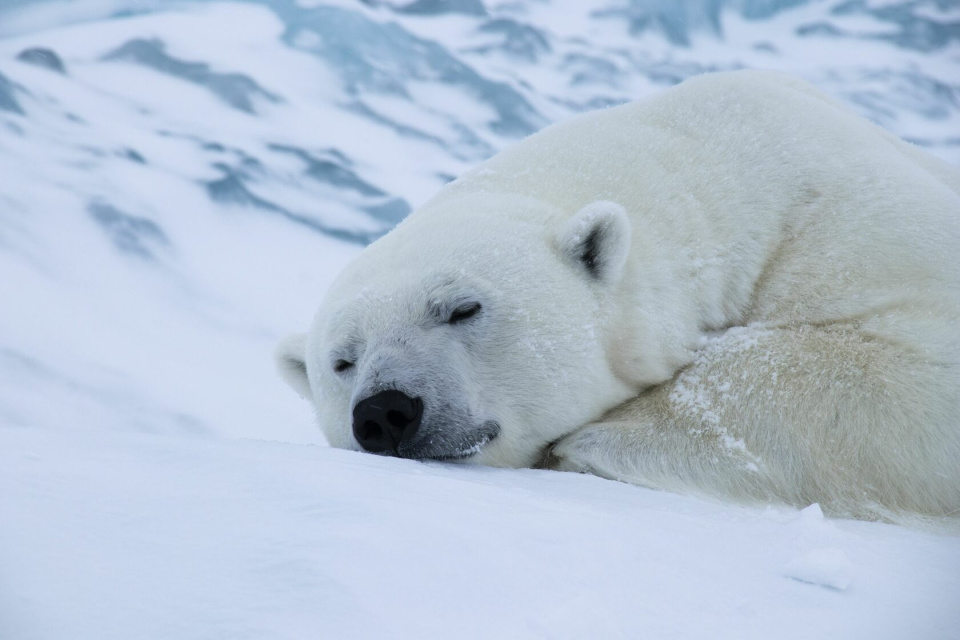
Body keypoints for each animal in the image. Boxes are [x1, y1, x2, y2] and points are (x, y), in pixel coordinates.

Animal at [276, 70, 960, 521]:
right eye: (341, 361)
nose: (385, 411)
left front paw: (587, 445)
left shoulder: (851, 226)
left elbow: (908, 369)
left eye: (463, 308)